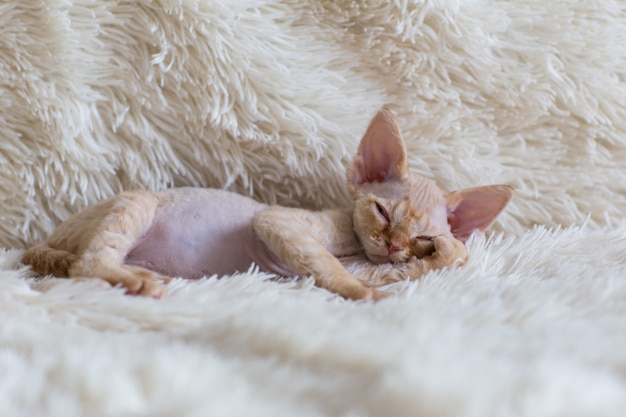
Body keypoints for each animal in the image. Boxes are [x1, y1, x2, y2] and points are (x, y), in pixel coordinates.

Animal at [23, 108, 512, 300]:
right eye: (381, 211)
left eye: (423, 235)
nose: (394, 246)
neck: (356, 244)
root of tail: (46, 239)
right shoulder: (278, 222)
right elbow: (329, 266)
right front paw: (362, 294)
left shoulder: (375, 264)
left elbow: (413, 267)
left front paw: (447, 251)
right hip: (137, 202)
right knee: (85, 265)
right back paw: (130, 280)